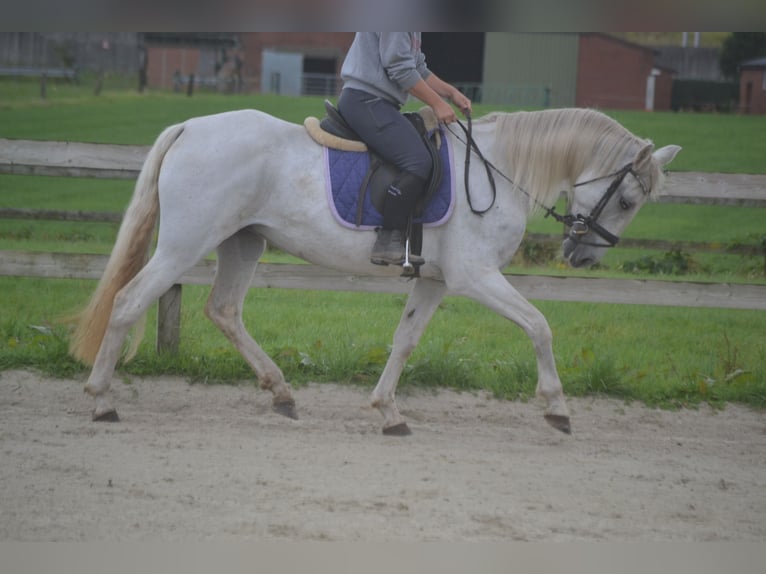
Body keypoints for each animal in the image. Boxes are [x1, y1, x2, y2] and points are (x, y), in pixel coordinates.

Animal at [69, 109, 680, 436]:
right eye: (628, 199)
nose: (584, 257)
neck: (499, 171)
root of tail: (191, 126)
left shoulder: (435, 281)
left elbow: (405, 340)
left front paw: (389, 412)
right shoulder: (474, 277)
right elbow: (539, 325)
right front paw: (557, 408)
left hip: (243, 243)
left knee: (223, 311)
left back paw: (281, 393)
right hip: (184, 244)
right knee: (129, 303)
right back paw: (101, 400)